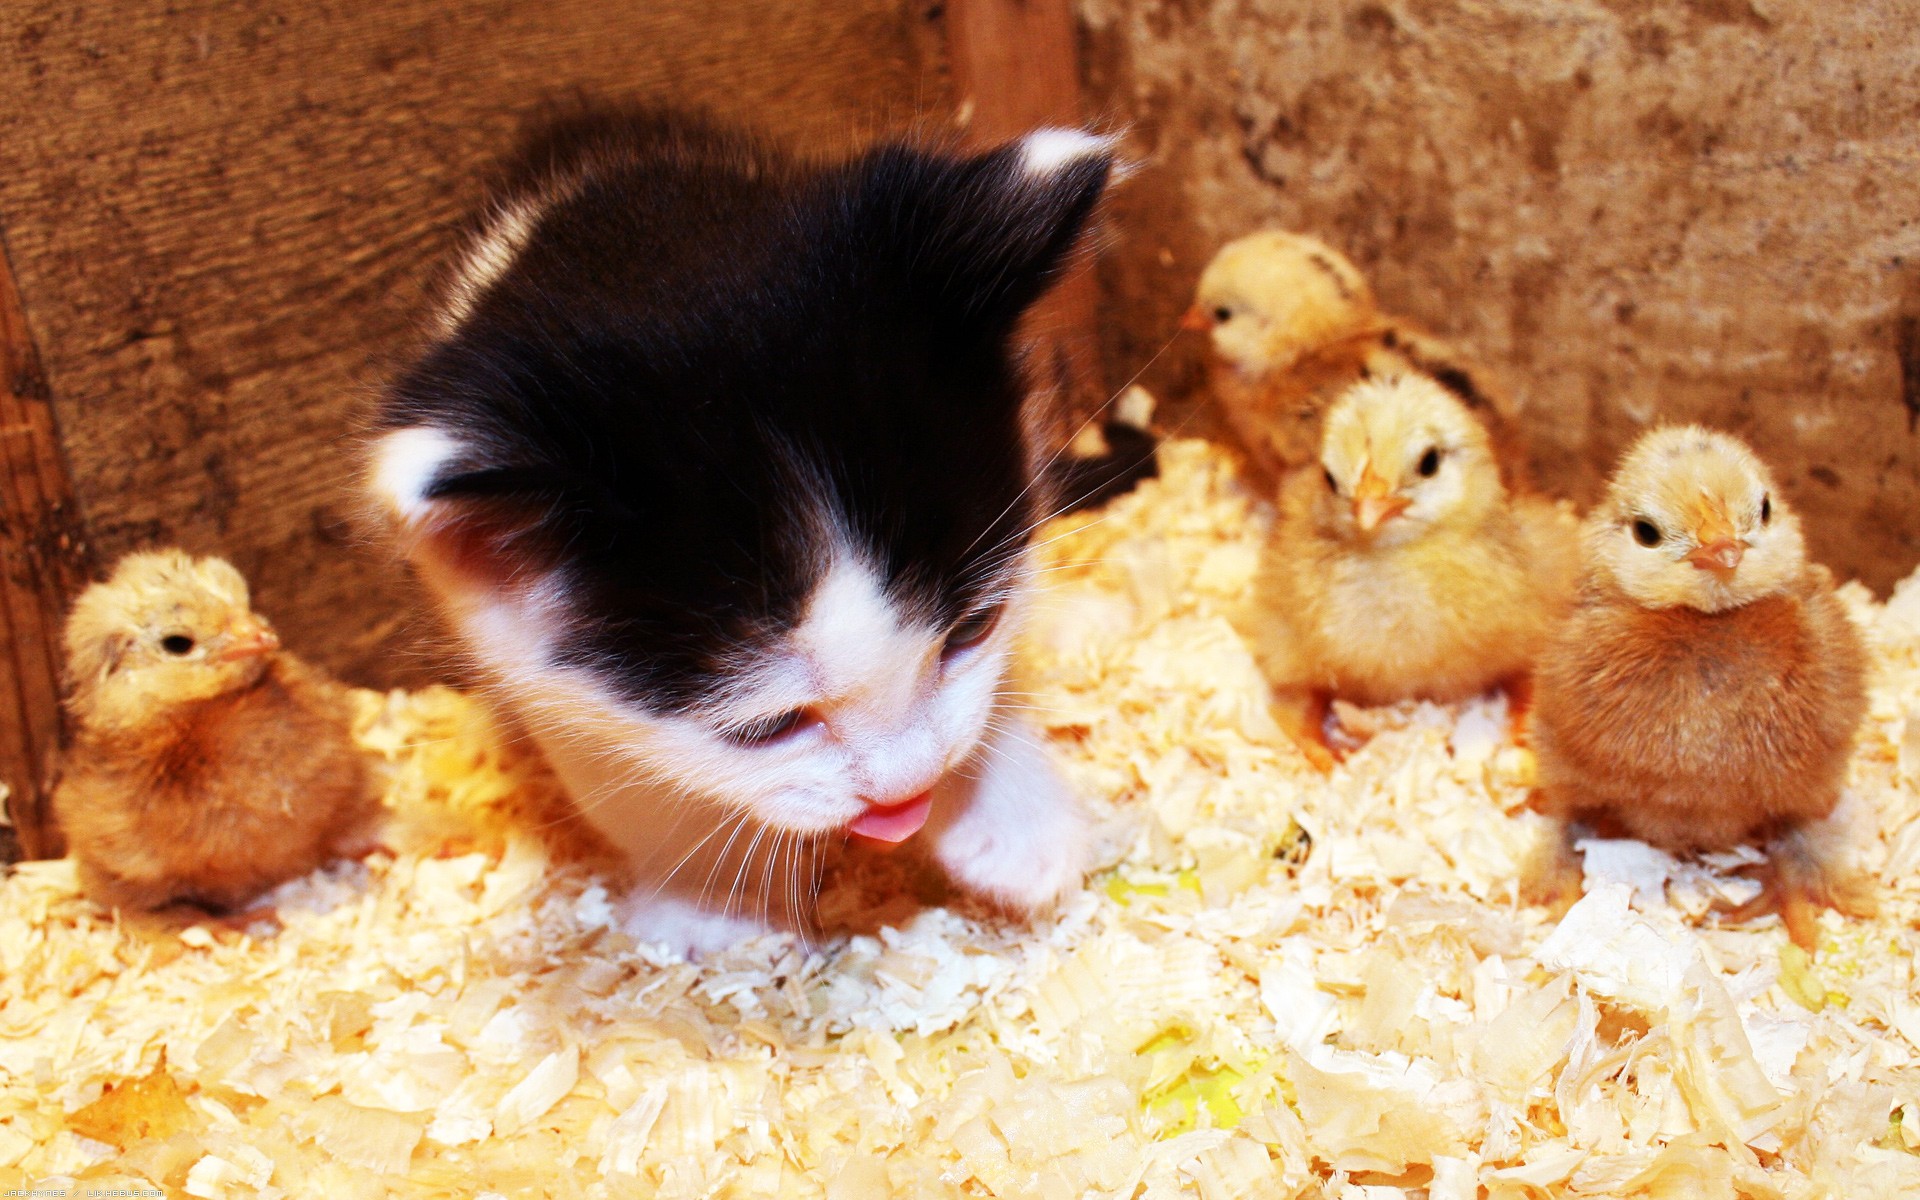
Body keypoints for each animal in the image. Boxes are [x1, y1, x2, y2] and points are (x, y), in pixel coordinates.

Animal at [368, 112, 1121, 956]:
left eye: (971, 630)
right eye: (768, 726)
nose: (904, 794)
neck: (634, 245)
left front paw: (1013, 817)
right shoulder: (506, 643)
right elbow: (624, 779)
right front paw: (705, 898)